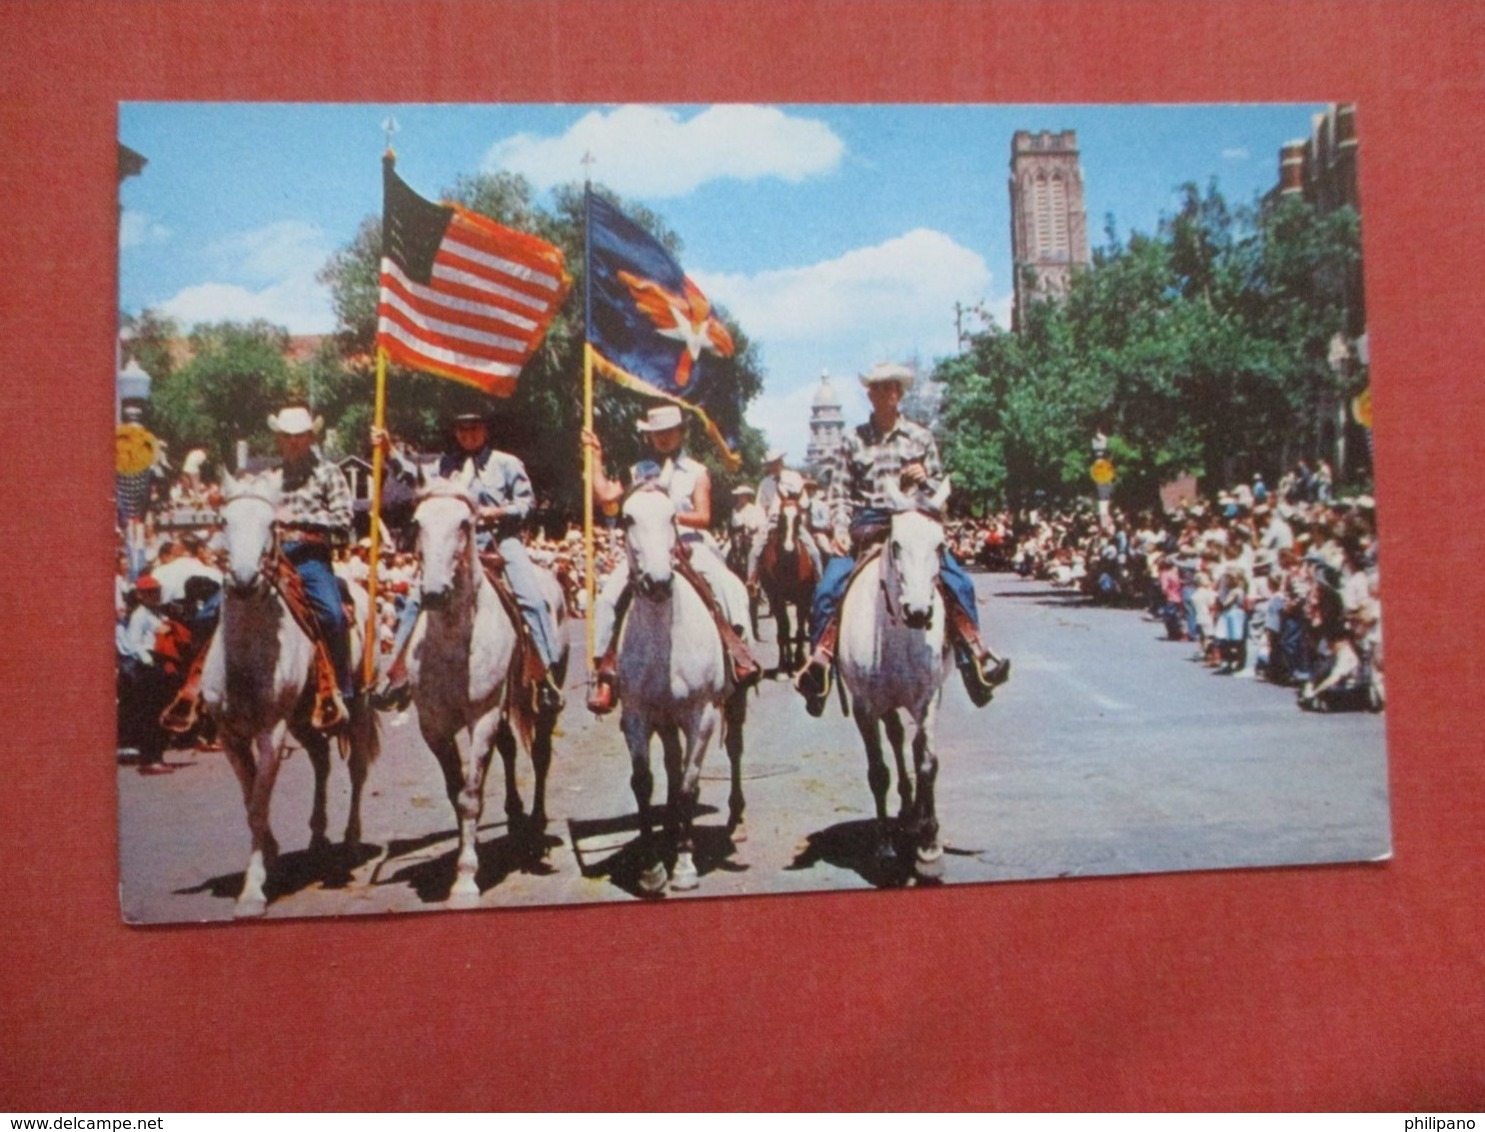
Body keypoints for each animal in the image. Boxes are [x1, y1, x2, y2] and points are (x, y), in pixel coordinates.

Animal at [201, 466, 377, 915]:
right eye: (224, 521)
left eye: (272, 524)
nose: (245, 579)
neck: (246, 659)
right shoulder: (230, 736)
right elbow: (250, 801)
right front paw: (273, 858)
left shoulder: (272, 730)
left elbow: (260, 803)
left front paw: (253, 890)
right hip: (304, 718)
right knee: (321, 761)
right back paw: (317, 837)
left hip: (358, 706)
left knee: (357, 769)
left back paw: (350, 843)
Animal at [406, 481, 567, 903]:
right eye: (417, 522)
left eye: (464, 523)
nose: (434, 592)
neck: (454, 642)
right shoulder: (433, 726)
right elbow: (456, 792)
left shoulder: (482, 717)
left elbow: (471, 795)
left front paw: (465, 877)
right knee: (510, 748)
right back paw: (514, 816)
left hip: (543, 701)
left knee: (540, 754)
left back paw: (536, 824)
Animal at [617, 484, 748, 891]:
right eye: (627, 518)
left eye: (673, 517)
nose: (658, 583)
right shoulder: (637, 715)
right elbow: (643, 782)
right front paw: (651, 867)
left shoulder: (701, 715)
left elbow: (690, 785)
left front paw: (685, 866)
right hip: (666, 720)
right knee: (672, 764)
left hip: (734, 702)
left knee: (734, 748)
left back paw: (736, 819)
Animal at [760, 493, 819, 671]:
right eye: (780, 517)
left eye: (799, 518)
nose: (788, 549)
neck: (788, 564)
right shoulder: (777, 598)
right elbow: (785, 627)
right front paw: (785, 662)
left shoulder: (803, 598)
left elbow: (799, 626)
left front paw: (799, 659)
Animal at [837, 472, 950, 879]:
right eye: (896, 544)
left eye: (940, 545)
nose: (918, 612)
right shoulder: (865, 708)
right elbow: (879, 772)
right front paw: (885, 848)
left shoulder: (929, 699)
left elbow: (928, 762)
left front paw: (929, 847)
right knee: (898, 739)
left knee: (911, 746)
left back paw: (916, 817)